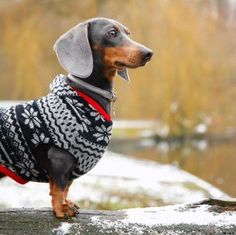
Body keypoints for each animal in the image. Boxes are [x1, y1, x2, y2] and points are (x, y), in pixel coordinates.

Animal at [0, 17, 153, 218]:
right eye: (112, 33)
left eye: (128, 33)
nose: (148, 53)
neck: (86, 95)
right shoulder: (61, 158)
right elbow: (59, 187)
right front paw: (61, 209)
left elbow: (65, 187)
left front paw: (67, 203)